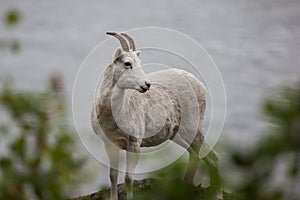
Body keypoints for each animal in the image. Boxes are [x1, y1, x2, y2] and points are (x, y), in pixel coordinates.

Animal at [90, 32, 221, 199]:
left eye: (139, 62)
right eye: (127, 63)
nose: (146, 85)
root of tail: (199, 84)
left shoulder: (134, 145)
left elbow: (128, 178)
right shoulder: (110, 145)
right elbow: (113, 176)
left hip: (193, 128)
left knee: (213, 158)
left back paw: (217, 195)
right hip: (177, 135)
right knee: (194, 154)